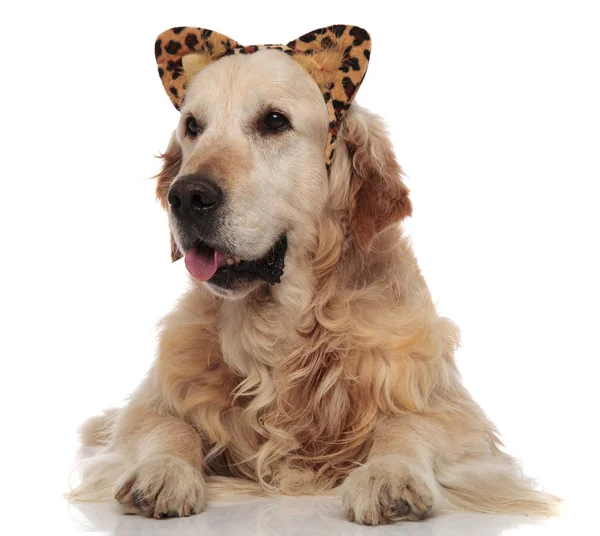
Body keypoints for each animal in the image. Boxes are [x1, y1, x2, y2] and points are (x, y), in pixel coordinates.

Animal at [68, 25, 560, 524]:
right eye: (192, 126)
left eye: (274, 121)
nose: (186, 196)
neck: (285, 326)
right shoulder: (150, 404)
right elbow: (168, 427)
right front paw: (163, 471)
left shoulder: (460, 420)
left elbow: (409, 427)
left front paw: (390, 475)